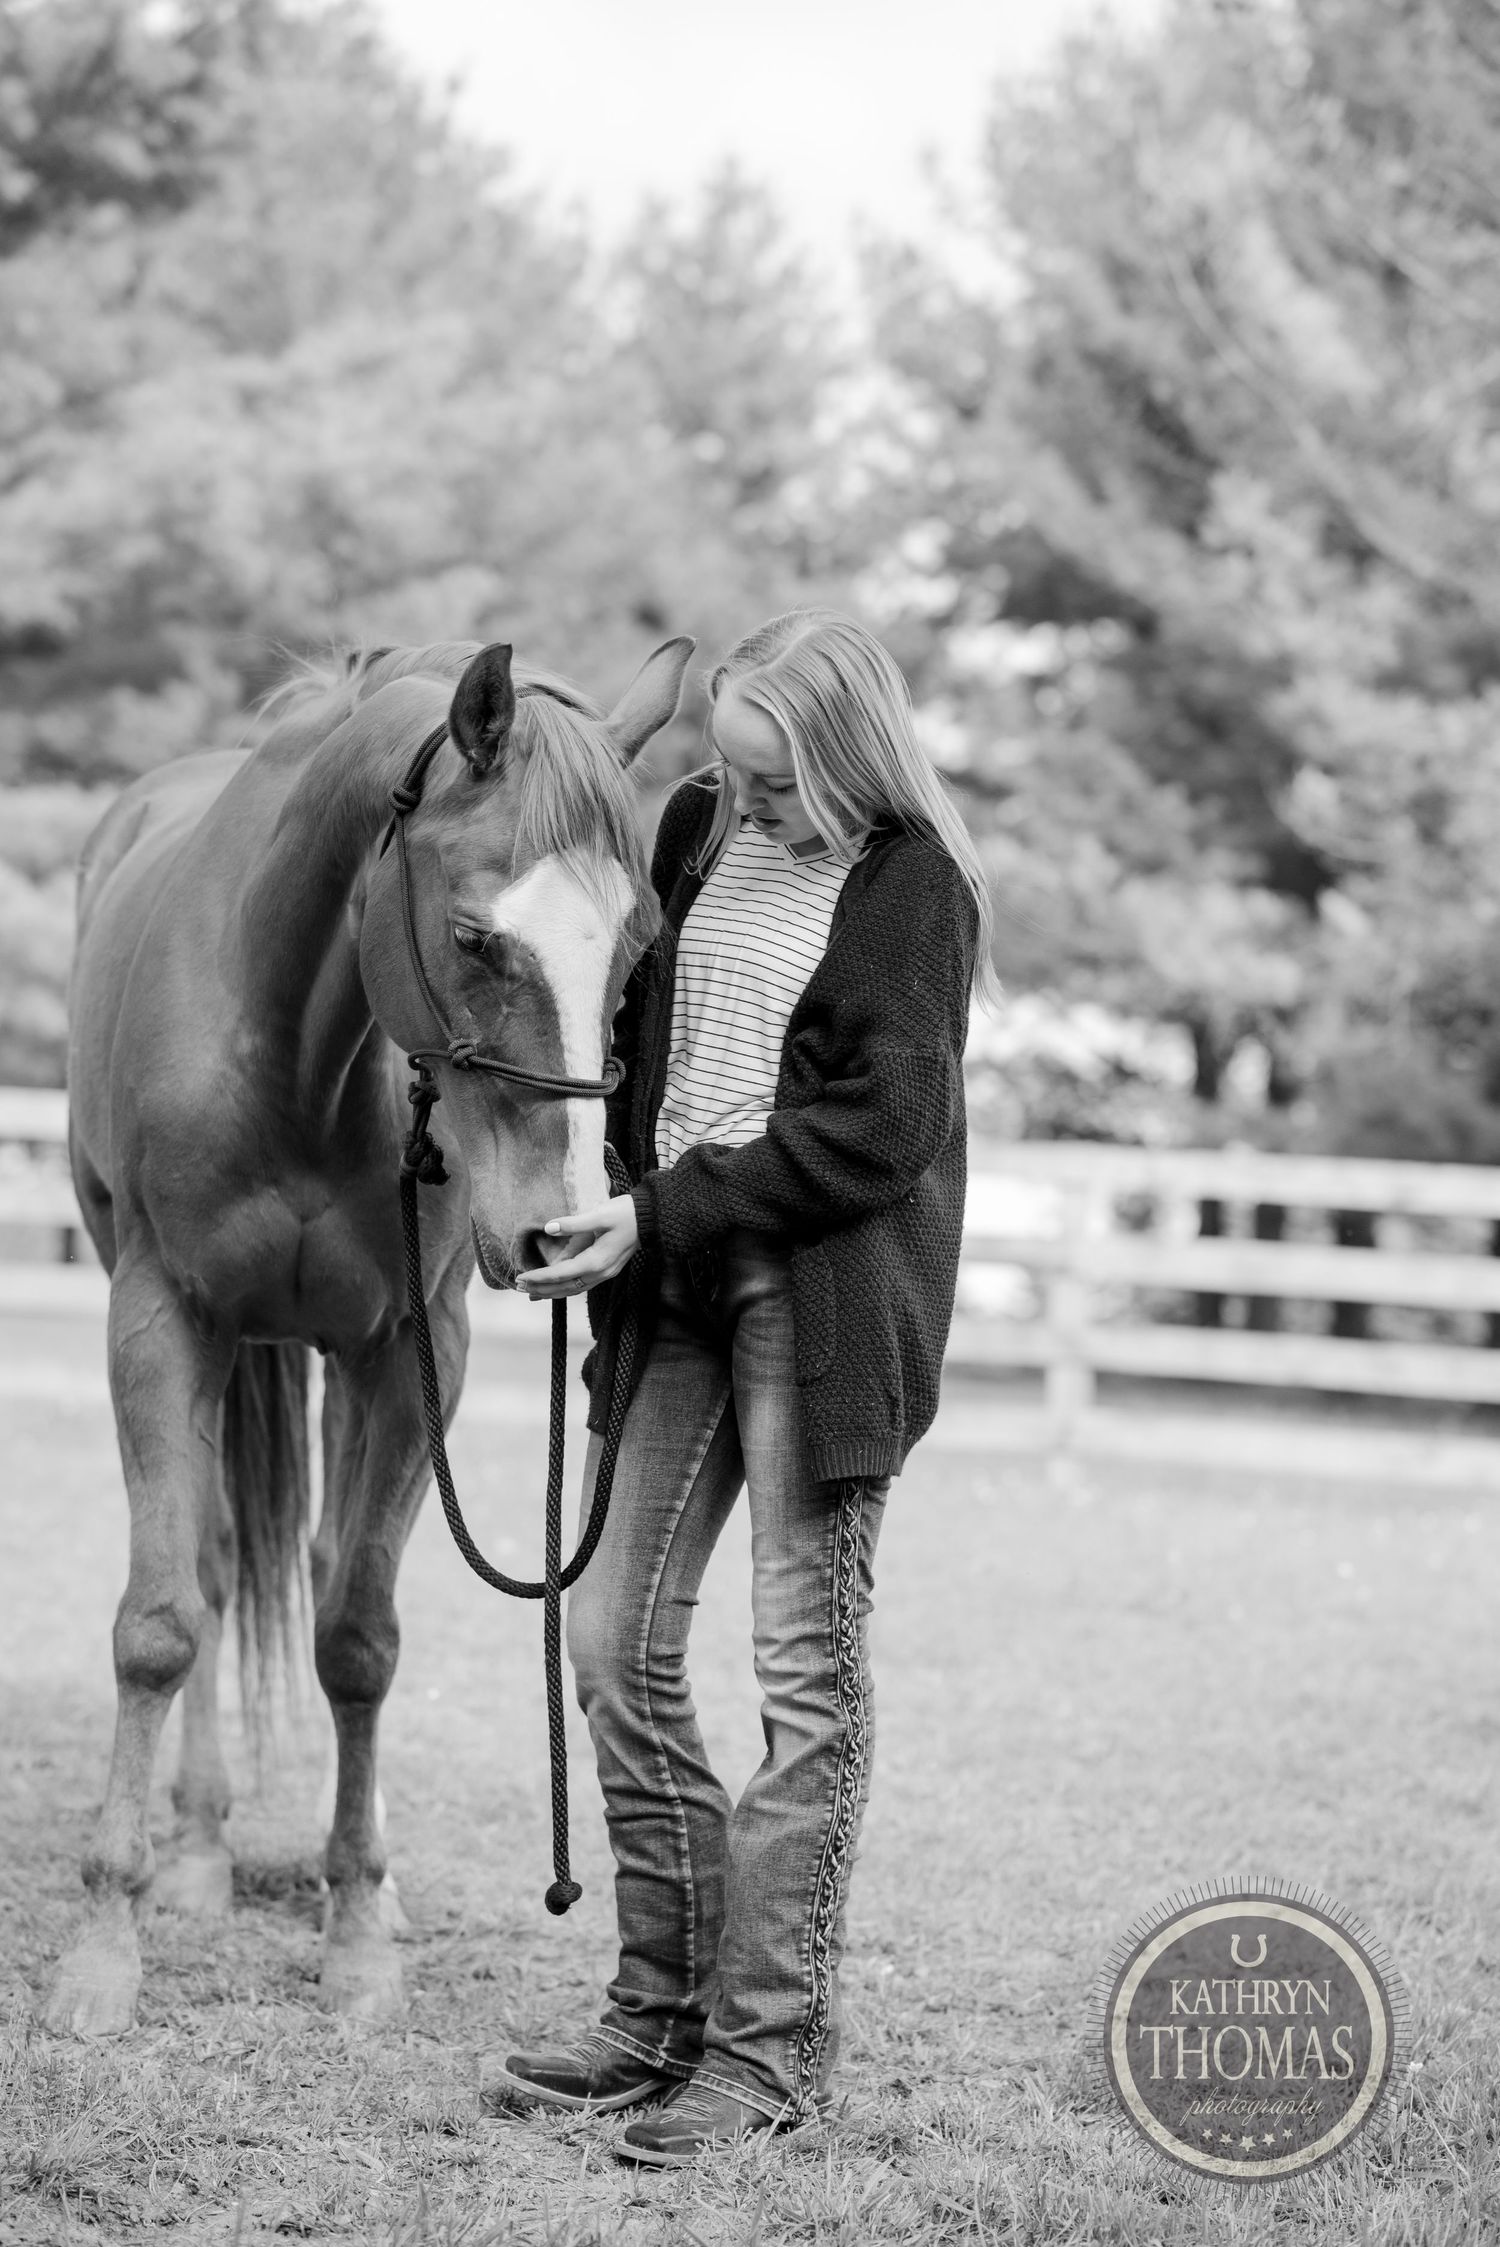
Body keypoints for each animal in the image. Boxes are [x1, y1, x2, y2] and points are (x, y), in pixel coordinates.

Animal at [46, 633, 693, 2037]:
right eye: (473, 936)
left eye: (636, 949)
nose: (562, 1237)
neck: (293, 1042)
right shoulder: (160, 1322)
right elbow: (162, 1623)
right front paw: (104, 1946)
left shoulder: (410, 1354)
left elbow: (360, 1637)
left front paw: (356, 1939)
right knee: (223, 1564)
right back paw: (196, 1854)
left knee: (336, 1568)